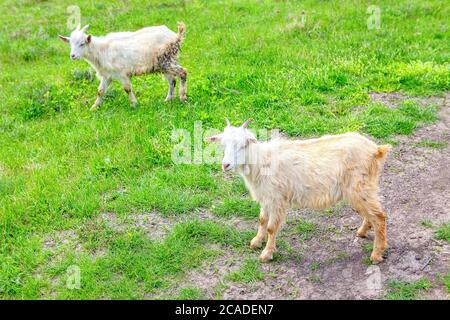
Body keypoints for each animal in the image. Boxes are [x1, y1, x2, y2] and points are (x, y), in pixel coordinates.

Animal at [207, 119, 390, 264]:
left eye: (243, 145)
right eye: (222, 145)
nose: (225, 165)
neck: (261, 162)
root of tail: (376, 150)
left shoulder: (277, 198)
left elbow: (271, 228)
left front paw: (266, 254)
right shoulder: (266, 197)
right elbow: (262, 220)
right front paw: (256, 242)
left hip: (360, 187)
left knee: (379, 216)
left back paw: (376, 254)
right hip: (362, 188)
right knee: (371, 213)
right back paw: (363, 232)